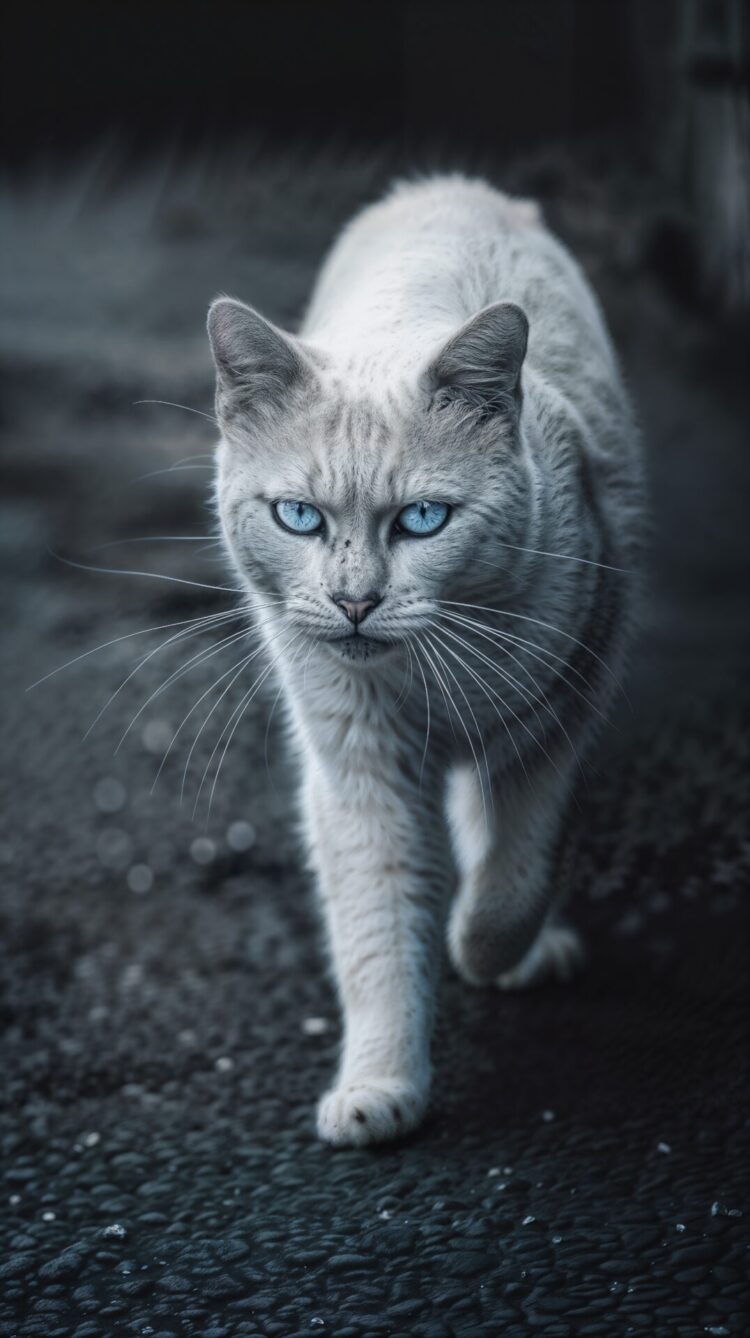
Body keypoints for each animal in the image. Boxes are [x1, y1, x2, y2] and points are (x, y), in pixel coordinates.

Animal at [205, 172, 644, 1145]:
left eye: (421, 520)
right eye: (299, 517)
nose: (354, 600)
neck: (424, 672)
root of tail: (455, 187)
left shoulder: (562, 710)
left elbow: (515, 874)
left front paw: (487, 951)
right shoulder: (356, 767)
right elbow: (377, 926)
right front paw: (380, 1084)